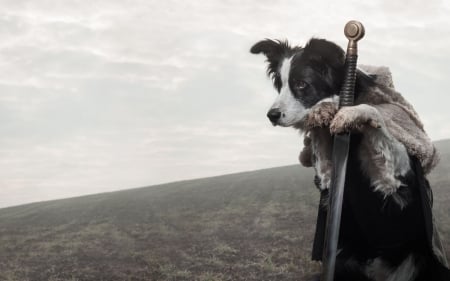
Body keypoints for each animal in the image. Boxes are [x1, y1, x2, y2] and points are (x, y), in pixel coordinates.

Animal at [251, 38, 448, 278]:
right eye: (280, 85)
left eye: (301, 84)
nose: (271, 116)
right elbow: (320, 158)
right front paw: (322, 114)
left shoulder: (399, 169)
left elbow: (376, 117)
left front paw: (345, 112)